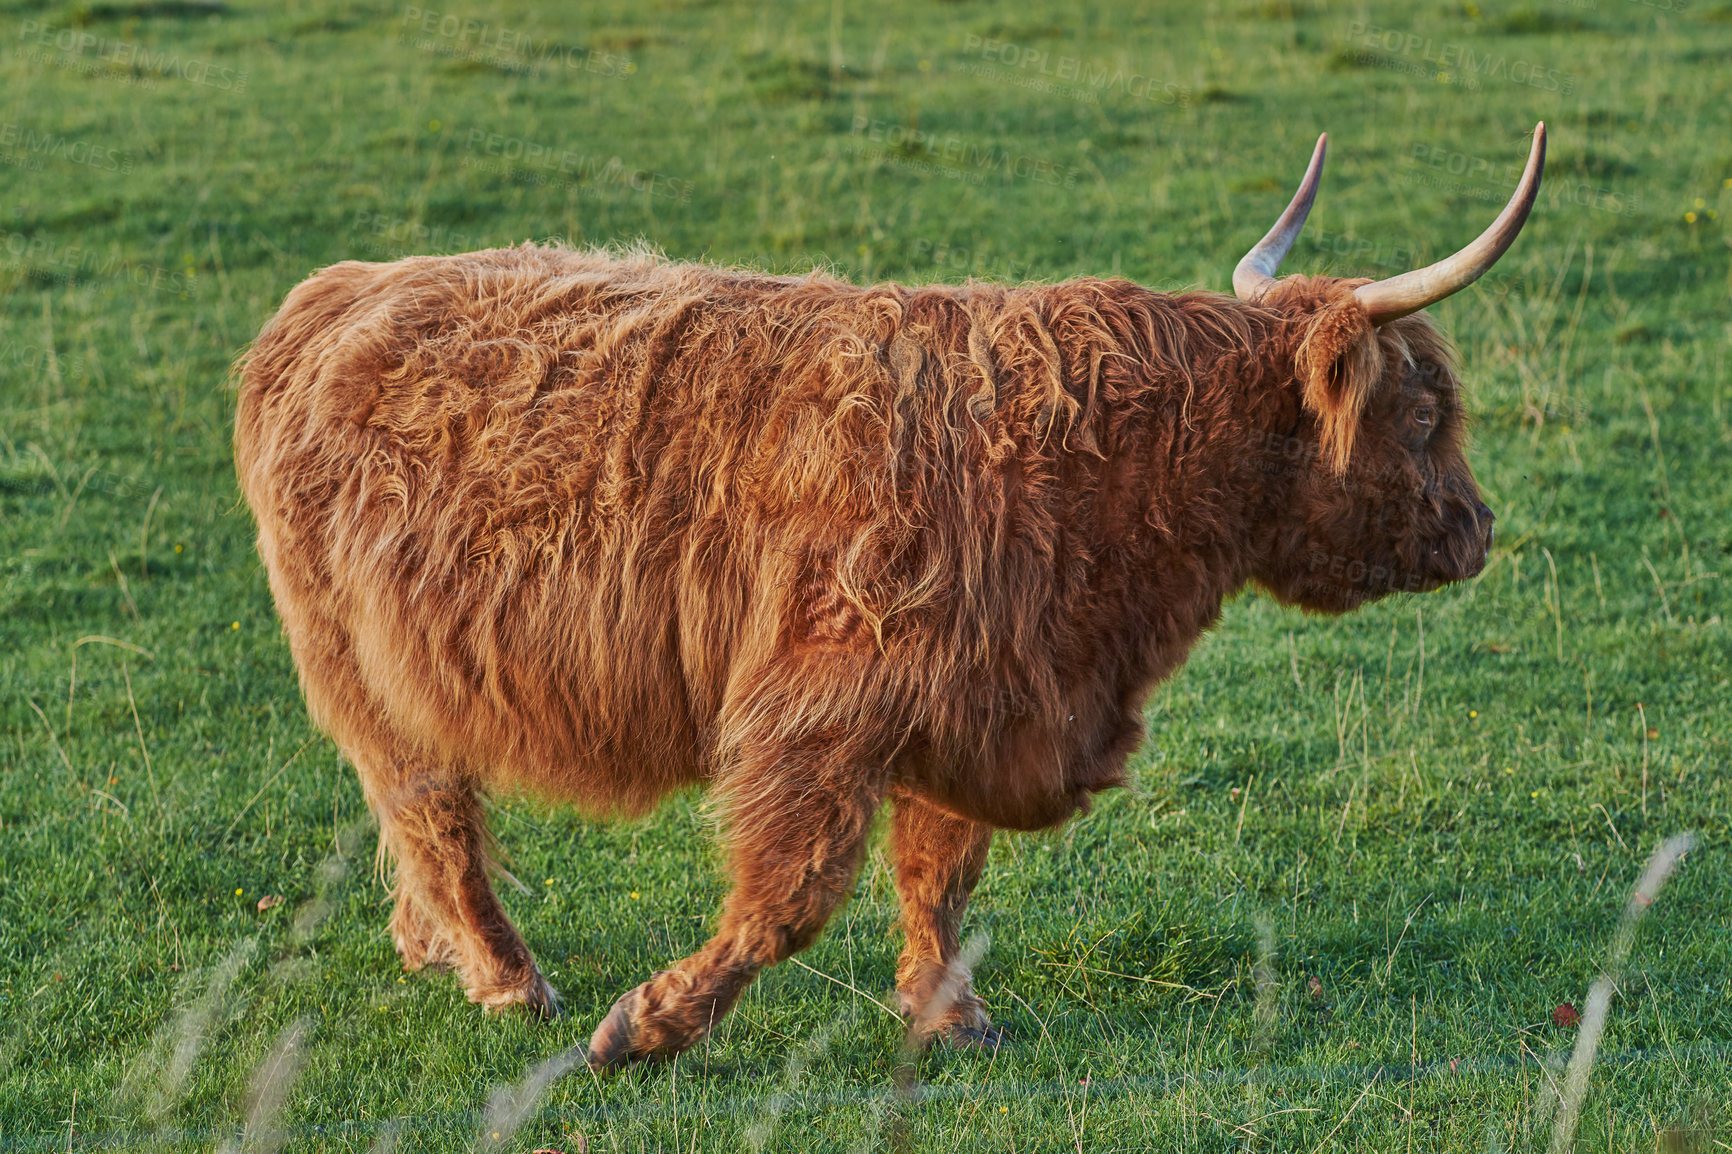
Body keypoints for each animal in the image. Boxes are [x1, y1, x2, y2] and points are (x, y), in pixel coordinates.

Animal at [230, 123, 1544, 1060]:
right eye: (1422, 413)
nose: (1476, 531)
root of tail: (339, 291)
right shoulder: (821, 708)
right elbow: (793, 892)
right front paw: (645, 1025)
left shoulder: (980, 696)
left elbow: (941, 873)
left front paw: (948, 1016)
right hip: (360, 663)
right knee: (432, 808)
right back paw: (510, 978)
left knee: (414, 815)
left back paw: (434, 950)